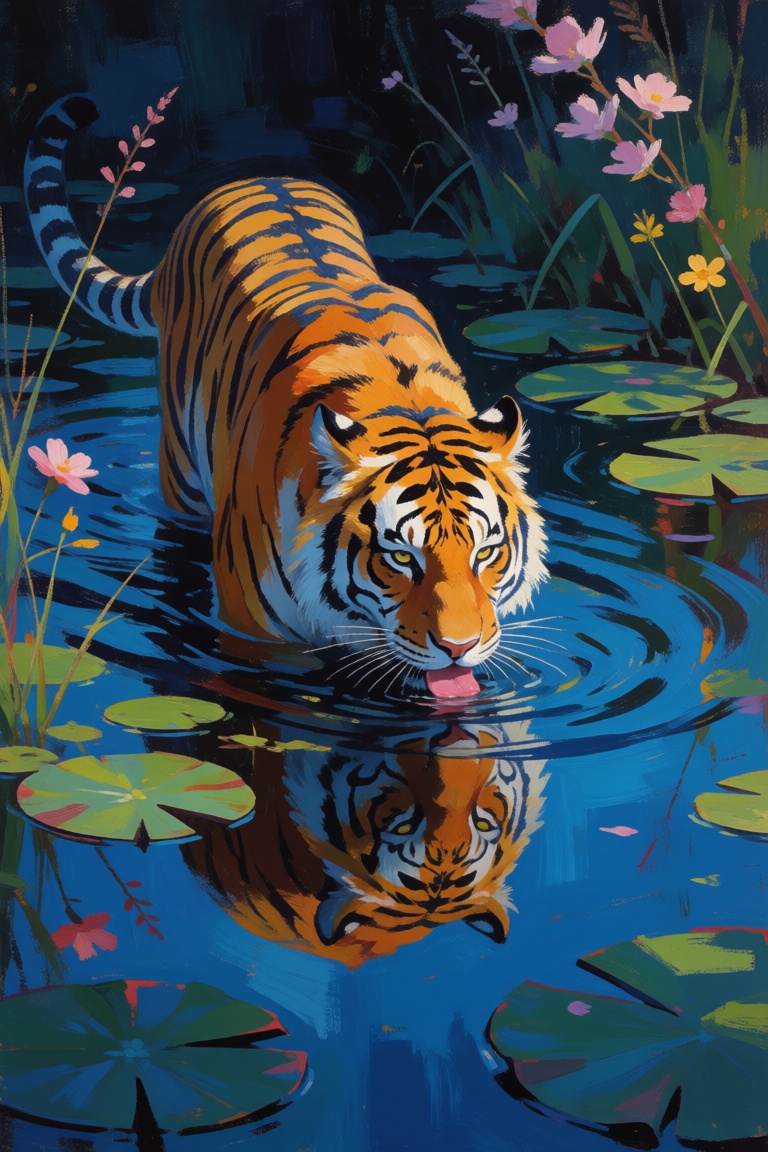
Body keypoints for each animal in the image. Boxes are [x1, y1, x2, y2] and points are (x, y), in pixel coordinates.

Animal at [25, 95, 547, 699]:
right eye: (400, 556)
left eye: (486, 552)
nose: (459, 648)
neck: (407, 406)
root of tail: (260, 176)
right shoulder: (255, 638)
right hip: (181, 477)